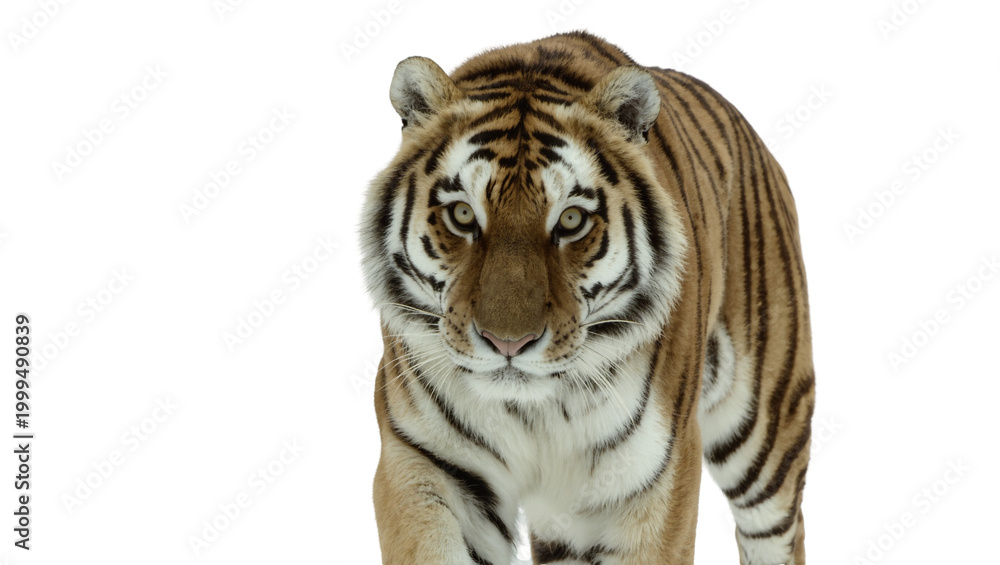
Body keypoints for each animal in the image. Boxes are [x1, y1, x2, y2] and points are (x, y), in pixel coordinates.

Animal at [360, 30, 815, 565]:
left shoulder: (653, 480)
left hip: (766, 430)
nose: (508, 343)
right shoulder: (426, 462)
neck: (534, 414)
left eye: (572, 220)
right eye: (463, 215)